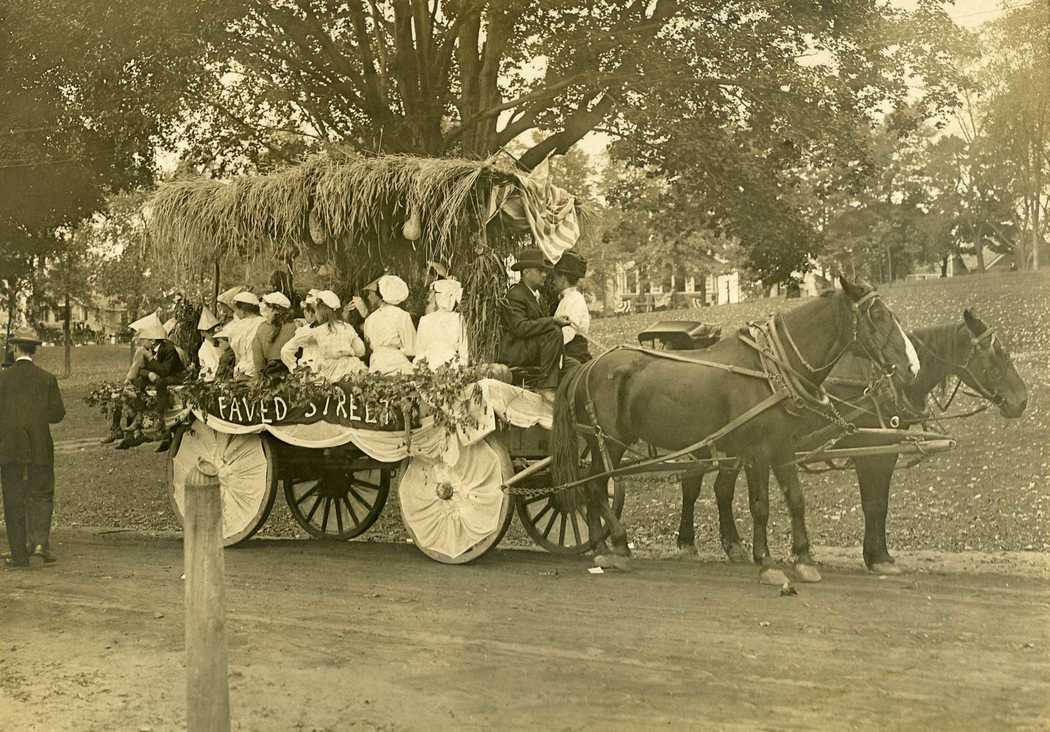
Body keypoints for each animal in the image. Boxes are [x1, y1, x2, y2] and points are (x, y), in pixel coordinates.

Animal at [554, 277, 923, 579]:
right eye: (877, 316)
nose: (912, 366)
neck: (771, 370)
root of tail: (587, 367)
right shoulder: (757, 450)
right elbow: (760, 505)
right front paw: (767, 562)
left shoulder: (782, 447)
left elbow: (795, 499)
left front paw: (803, 558)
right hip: (609, 441)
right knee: (595, 488)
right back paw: (615, 544)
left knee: (592, 488)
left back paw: (601, 547)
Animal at [676, 304, 1029, 575]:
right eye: (997, 355)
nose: (1022, 401)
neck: (887, 384)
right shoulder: (872, 452)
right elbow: (874, 504)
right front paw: (877, 557)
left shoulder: (885, 451)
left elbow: (879, 505)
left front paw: (878, 555)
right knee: (692, 486)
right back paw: (686, 541)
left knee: (721, 490)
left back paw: (732, 545)